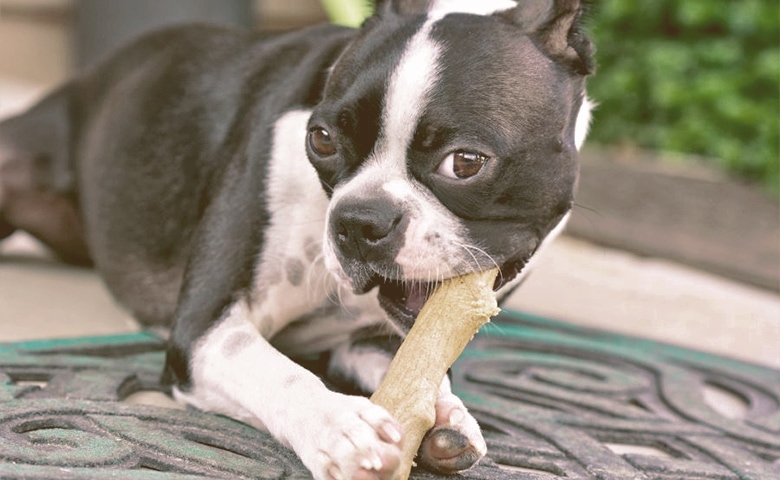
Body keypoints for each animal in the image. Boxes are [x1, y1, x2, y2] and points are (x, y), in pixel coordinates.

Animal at [0, 0, 592, 476]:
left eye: (465, 162)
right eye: (321, 138)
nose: (359, 220)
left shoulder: (375, 342)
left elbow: (420, 368)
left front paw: (447, 415)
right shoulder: (203, 331)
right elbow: (277, 372)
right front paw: (337, 426)